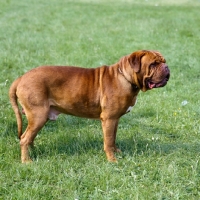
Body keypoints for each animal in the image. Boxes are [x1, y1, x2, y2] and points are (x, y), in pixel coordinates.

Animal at [8, 49, 170, 162]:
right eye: (153, 64)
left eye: (163, 61)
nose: (167, 67)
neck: (125, 77)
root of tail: (21, 78)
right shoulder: (109, 119)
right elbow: (108, 141)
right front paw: (112, 160)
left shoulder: (115, 120)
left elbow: (113, 138)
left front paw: (117, 152)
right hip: (38, 116)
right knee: (24, 139)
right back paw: (27, 161)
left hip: (39, 118)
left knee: (29, 137)